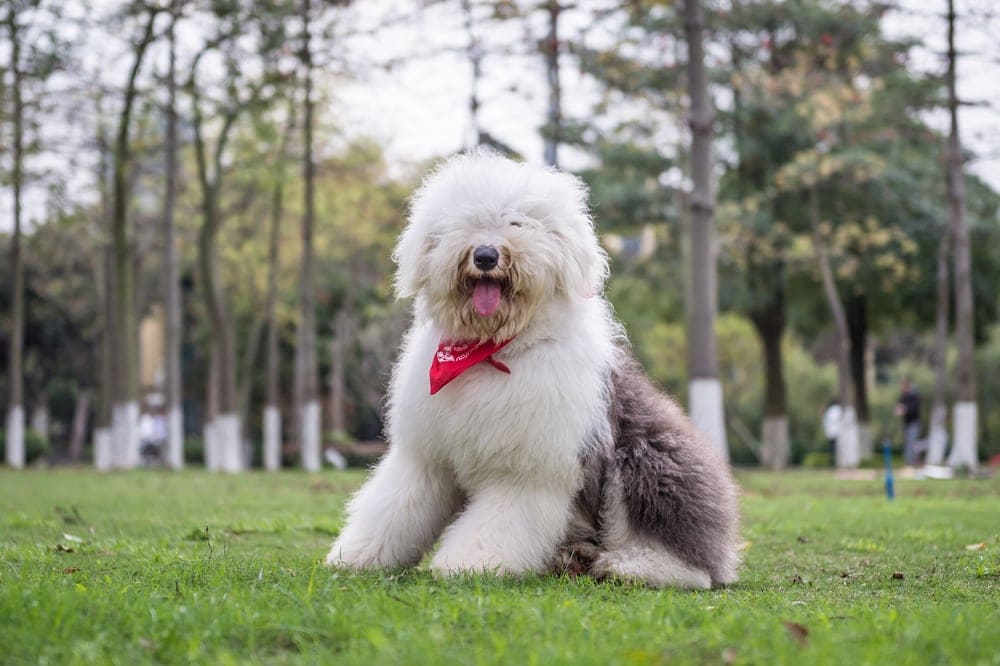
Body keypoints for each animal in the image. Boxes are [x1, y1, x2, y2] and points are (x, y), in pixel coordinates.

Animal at [324, 149, 740, 588]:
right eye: (466, 222)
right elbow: (394, 506)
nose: (485, 255)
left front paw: (472, 563)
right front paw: (357, 555)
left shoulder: (527, 467)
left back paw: (628, 566)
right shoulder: (425, 457)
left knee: (688, 563)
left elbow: (500, 520)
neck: (491, 352)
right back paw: (572, 558)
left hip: (649, 458)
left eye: (518, 223)